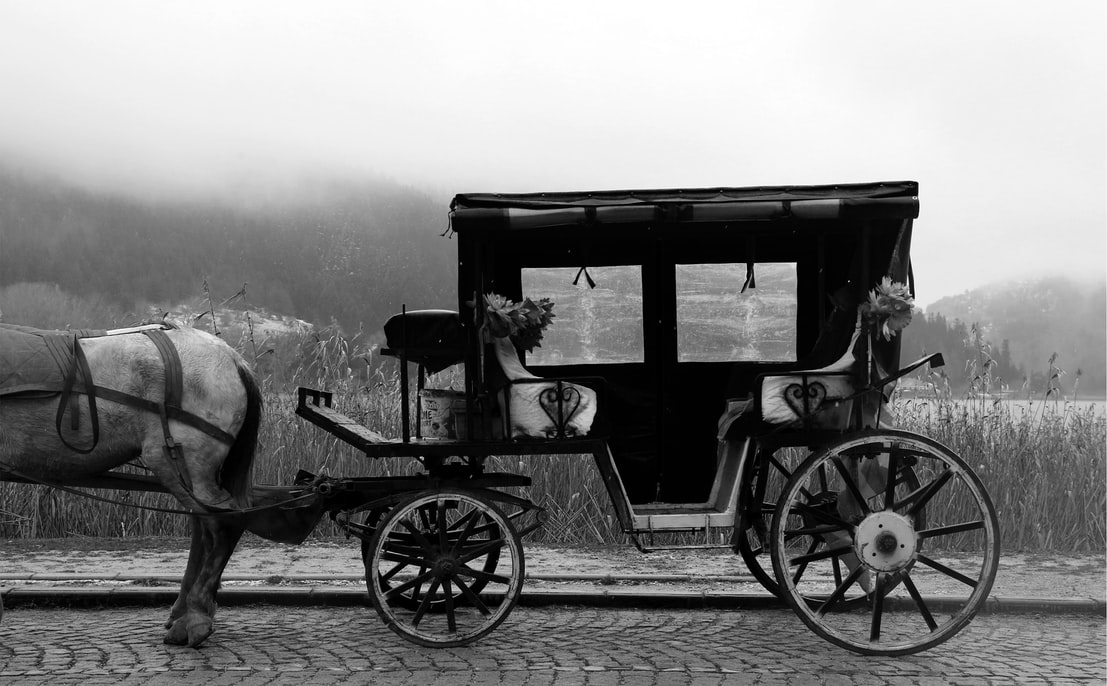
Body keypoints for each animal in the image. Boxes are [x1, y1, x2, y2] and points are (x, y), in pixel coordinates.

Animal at [0, 320, 325, 641]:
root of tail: (232, 357)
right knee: (204, 528)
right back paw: (184, 609)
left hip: (177, 460)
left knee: (224, 524)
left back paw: (195, 616)